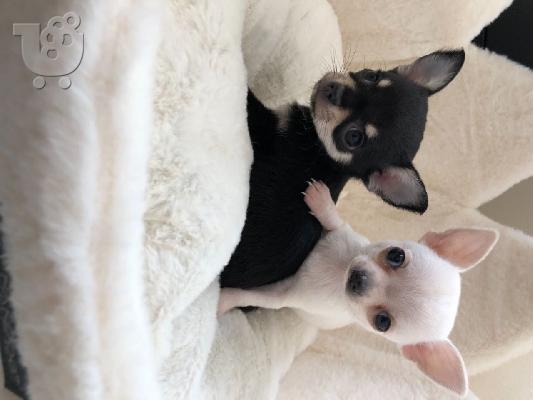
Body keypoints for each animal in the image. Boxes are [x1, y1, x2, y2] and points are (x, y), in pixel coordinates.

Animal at [219, 49, 465, 289]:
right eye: (371, 76)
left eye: (353, 138)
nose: (335, 91)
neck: (323, 153)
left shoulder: (269, 130)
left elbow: (249, 102)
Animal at [219, 180, 499, 396]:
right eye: (396, 255)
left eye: (382, 322)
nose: (358, 279)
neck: (340, 270)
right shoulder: (344, 235)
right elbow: (337, 222)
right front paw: (324, 202)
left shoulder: (286, 296)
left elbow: (254, 295)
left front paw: (223, 298)